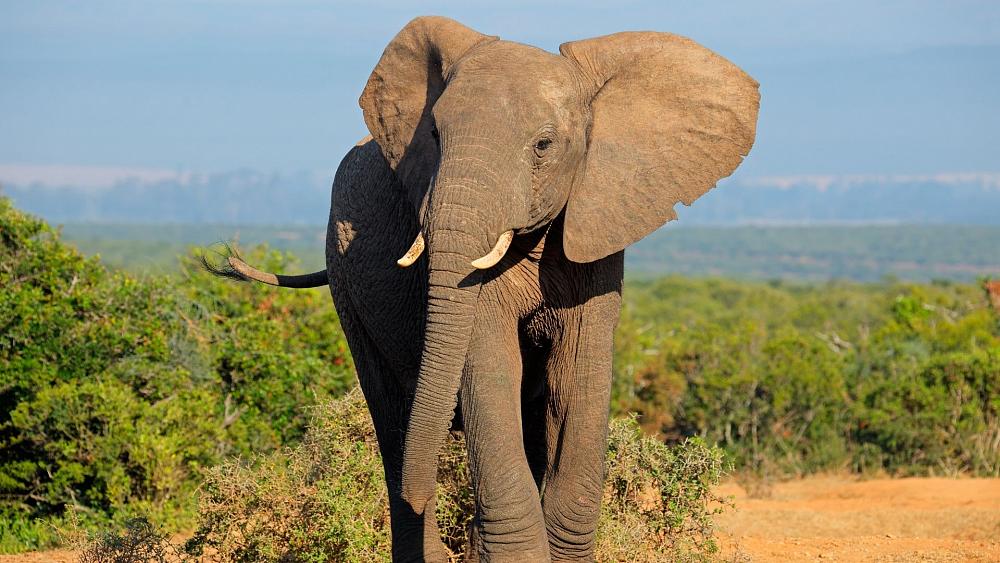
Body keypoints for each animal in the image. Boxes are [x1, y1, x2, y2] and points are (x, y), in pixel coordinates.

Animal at [208, 16, 758, 562]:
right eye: (433, 133)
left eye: (543, 145)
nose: (421, 489)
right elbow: (489, 368)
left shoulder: (598, 228)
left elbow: (576, 378)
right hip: (343, 277)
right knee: (392, 416)